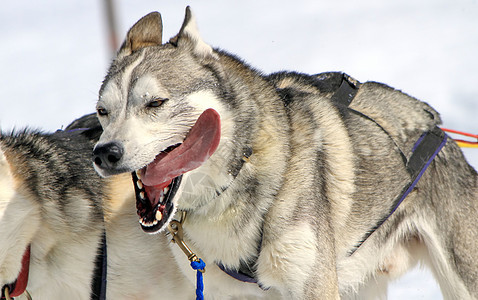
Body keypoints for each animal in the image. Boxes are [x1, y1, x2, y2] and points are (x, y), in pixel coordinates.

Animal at [92, 7, 478, 300]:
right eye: (103, 111)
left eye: (156, 103)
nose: (104, 153)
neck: (238, 175)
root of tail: (436, 125)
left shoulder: (314, 287)